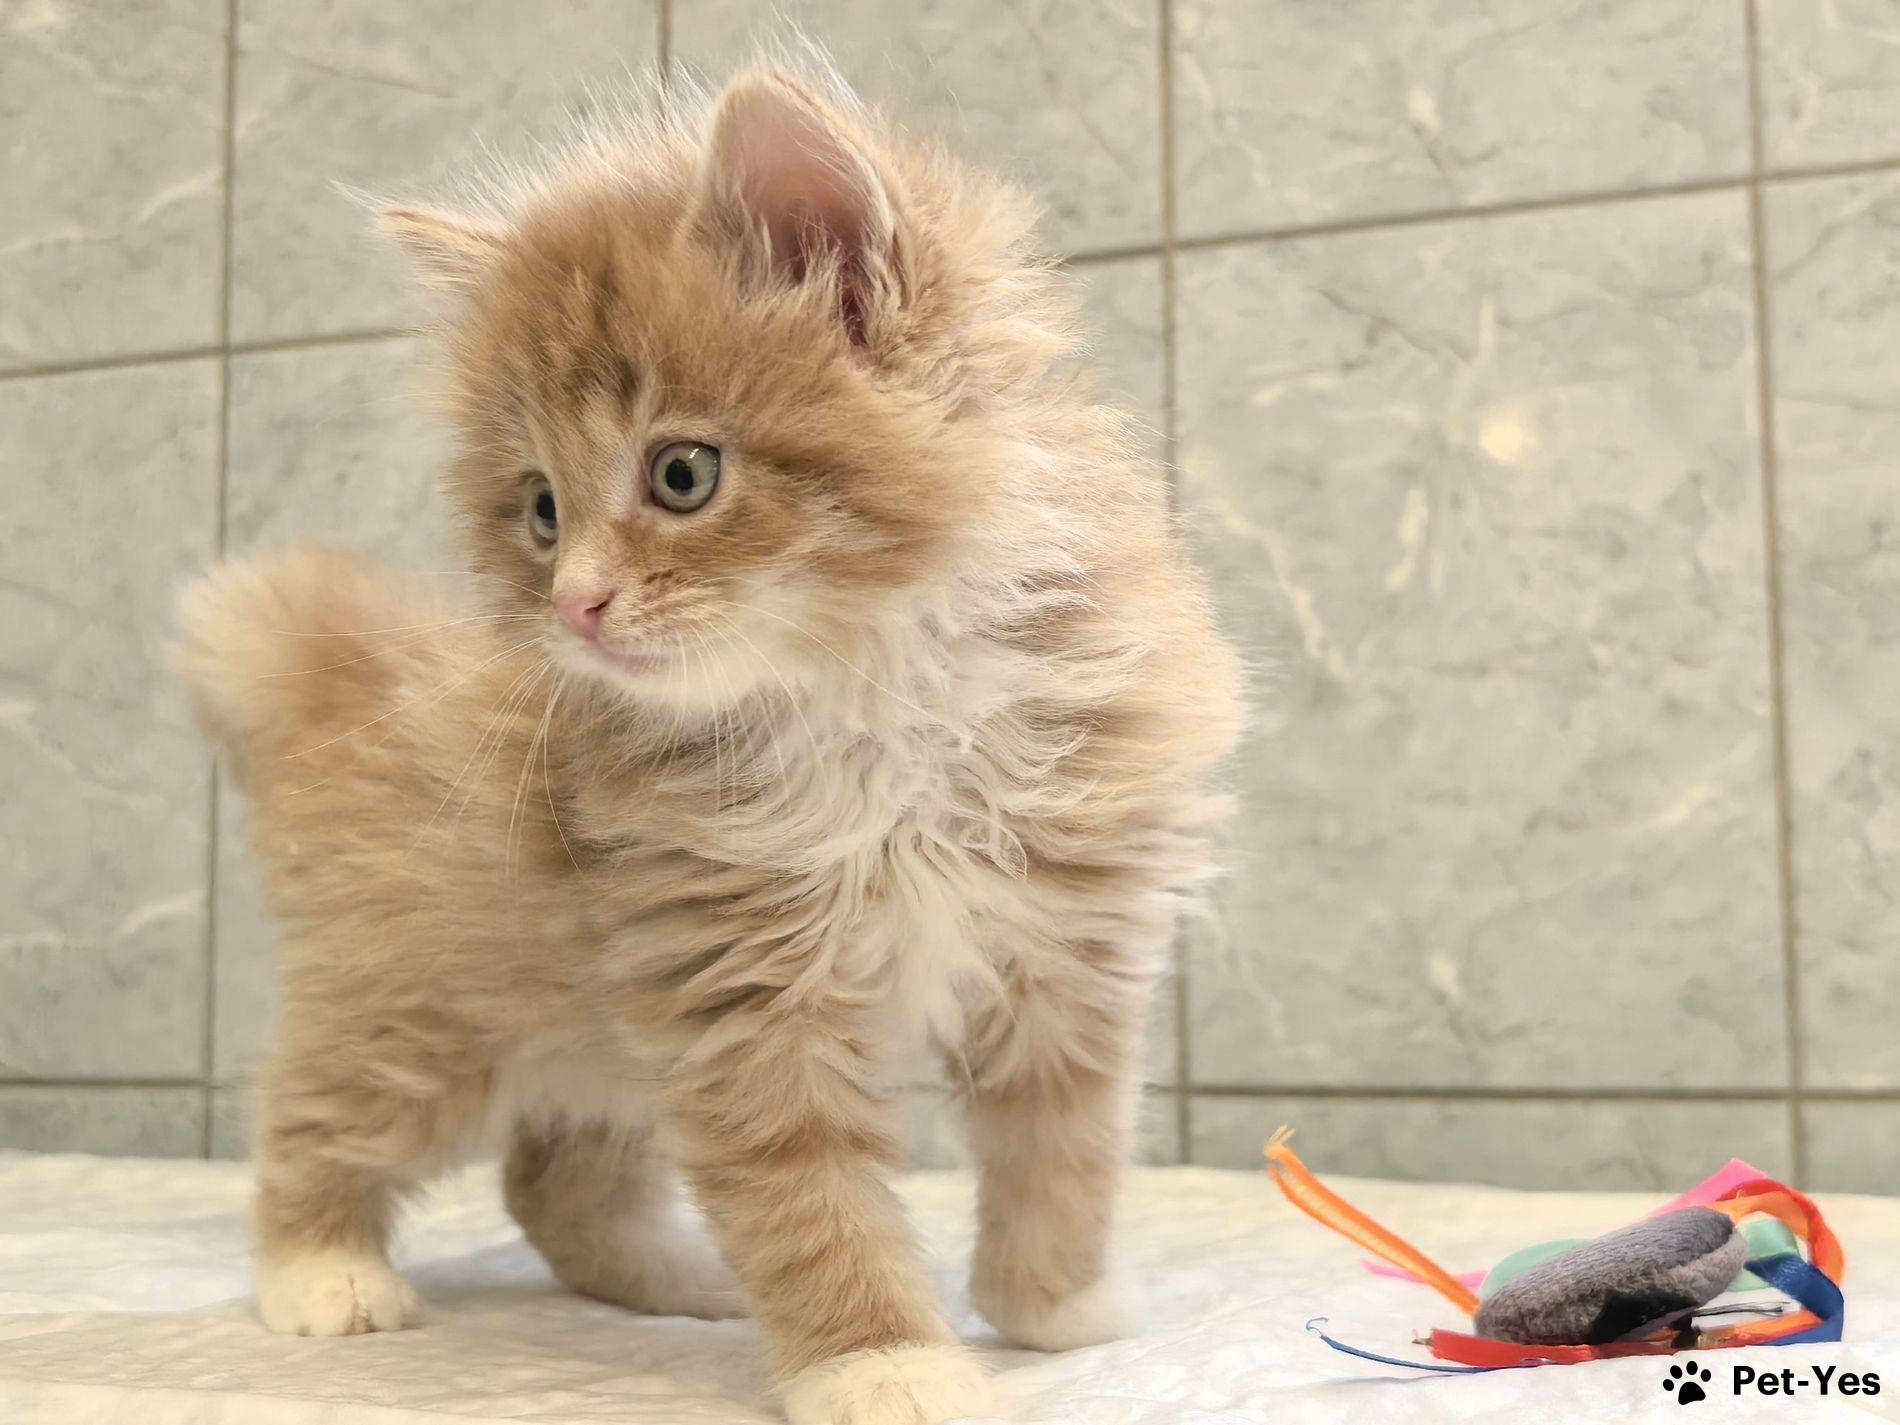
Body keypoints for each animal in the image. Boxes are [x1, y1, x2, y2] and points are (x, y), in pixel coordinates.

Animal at [176, 58, 1242, 1425]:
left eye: (682, 475)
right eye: (540, 510)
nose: (574, 605)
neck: (871, 694)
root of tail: (350, 684)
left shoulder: (1066, 947)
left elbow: (1063, 1149)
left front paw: (1056, 1309)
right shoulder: (733, 985)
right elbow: (811, 1202)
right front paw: (879, 1363)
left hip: (597, 1041)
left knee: (553, 1181)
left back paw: (679, 1280)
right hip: (417, 1011)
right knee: (317, 1118)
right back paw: (321, 1273)